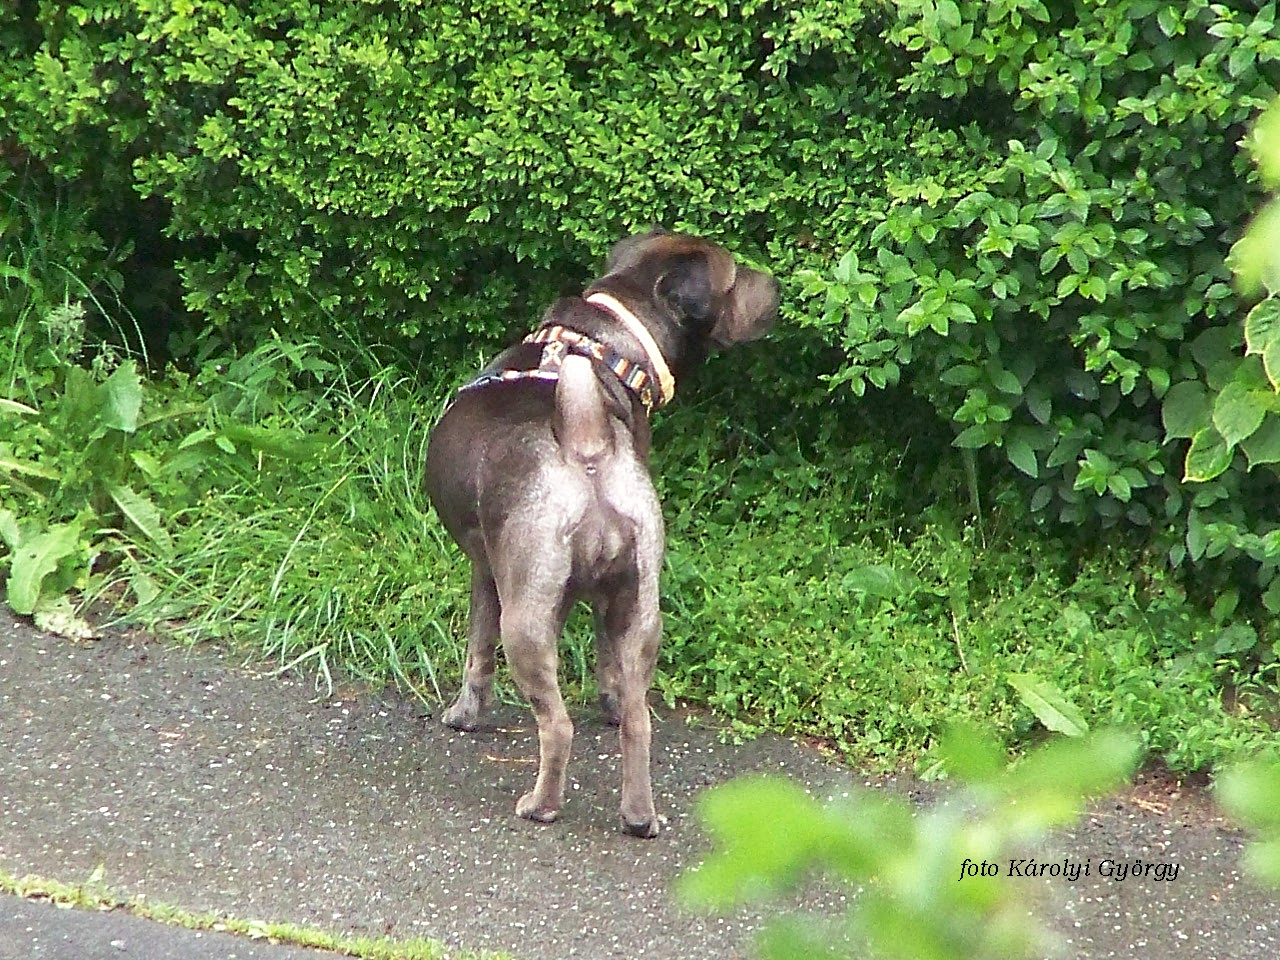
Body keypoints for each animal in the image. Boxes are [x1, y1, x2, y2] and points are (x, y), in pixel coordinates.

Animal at [424, 229, 773, 839]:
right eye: (737, 277)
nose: (775, 285)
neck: (614, 341)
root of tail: (584, 444)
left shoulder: (485, 573)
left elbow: (476, 650)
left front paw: (464, 716)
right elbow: (606, 667)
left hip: (527, 620)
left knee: (556, 725)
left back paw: (541, 804)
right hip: (640, 607)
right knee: (638, 722)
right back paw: (638, 814)